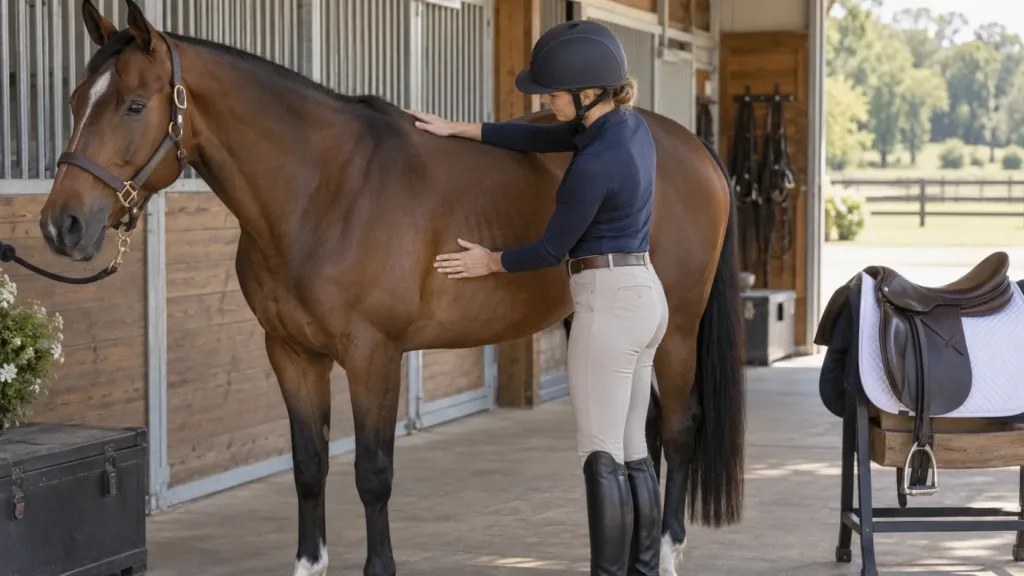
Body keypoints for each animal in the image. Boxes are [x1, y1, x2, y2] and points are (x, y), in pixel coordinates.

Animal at [41, 2, 745, 575]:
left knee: (678, 428)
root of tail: (691, 146)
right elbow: (309, 466)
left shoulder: (372, 356)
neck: (326, 191)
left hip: (677, 331)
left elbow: (372, 473)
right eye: (74, 102)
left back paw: (671, 548)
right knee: (637, 437)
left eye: (134, 105)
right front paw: (309, 564)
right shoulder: (291, 353)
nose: (61, 225)